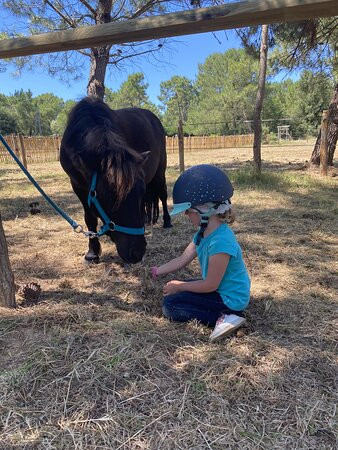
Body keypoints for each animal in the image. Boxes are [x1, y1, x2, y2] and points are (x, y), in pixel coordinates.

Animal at [59, 96, 172, 262]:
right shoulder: (77, 186)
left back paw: (167, 222)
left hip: (160, 172)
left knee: (163, 194)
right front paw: (92, 252)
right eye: (110, 197)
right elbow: (89, 218)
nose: (137, 252)